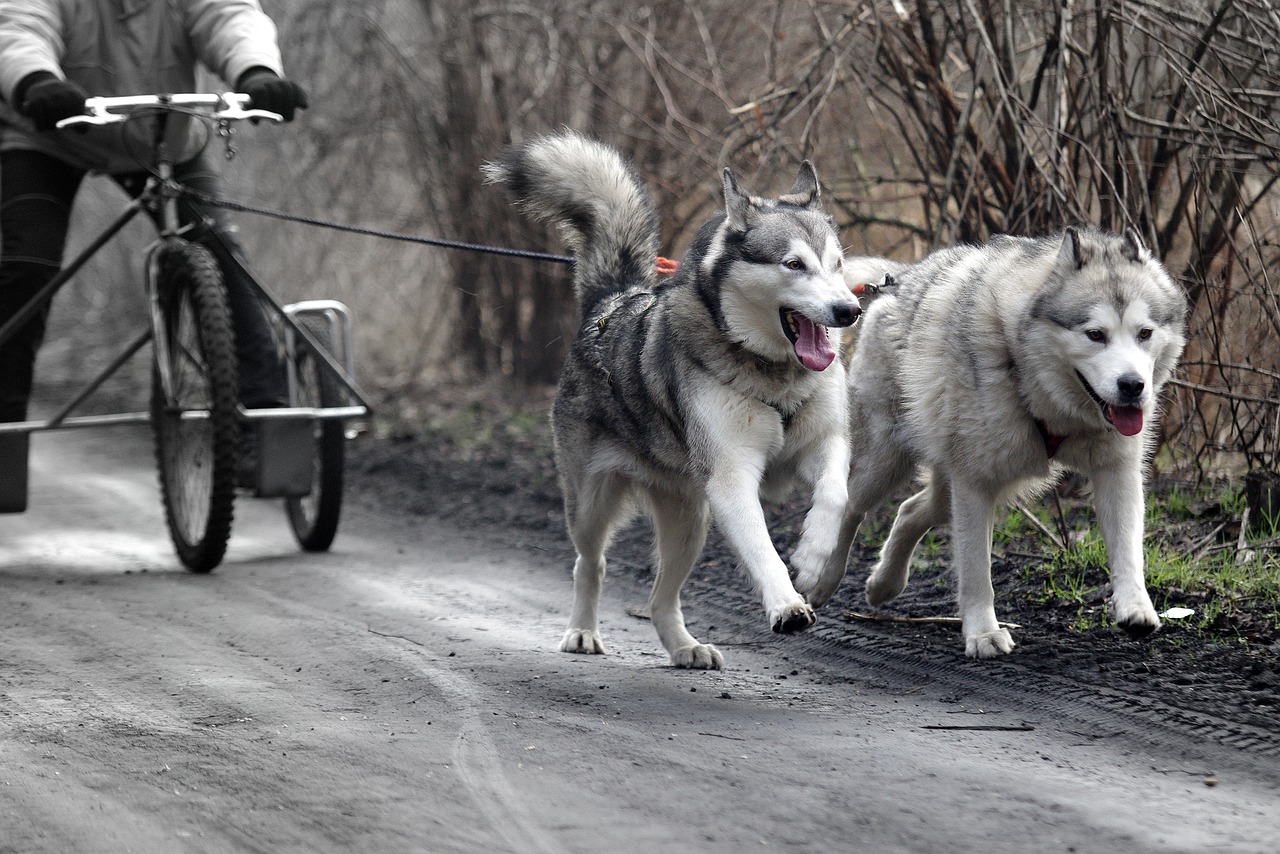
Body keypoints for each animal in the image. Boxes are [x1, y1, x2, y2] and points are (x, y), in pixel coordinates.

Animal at [483, 131, 865, 665]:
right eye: (794, 264)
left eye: (837, 265)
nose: (849, 310)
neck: (774, 374)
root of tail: (611, 301)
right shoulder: (731, 478)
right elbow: (762, 548)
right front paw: (787, 604)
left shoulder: (824, 445)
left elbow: (835, 494)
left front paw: (812, 562)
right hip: (591, 506)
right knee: (590, 564)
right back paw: (582, 631)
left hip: (689, 522)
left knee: (660, 597)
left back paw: (685, 647)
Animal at [798, 229, 1187, 660]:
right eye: (1095, 335)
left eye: (1144, 333)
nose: (1133, 386)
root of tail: (902, 280)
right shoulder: (975, 483)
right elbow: (976, 570)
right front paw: (983, 633)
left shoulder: (1116, 471)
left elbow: (1129, 550)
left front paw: (1136, 608)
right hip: (887, 463)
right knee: (850, 505)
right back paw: (824, 578)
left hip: (953, 482)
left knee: (911, 509)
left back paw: (884, 584)